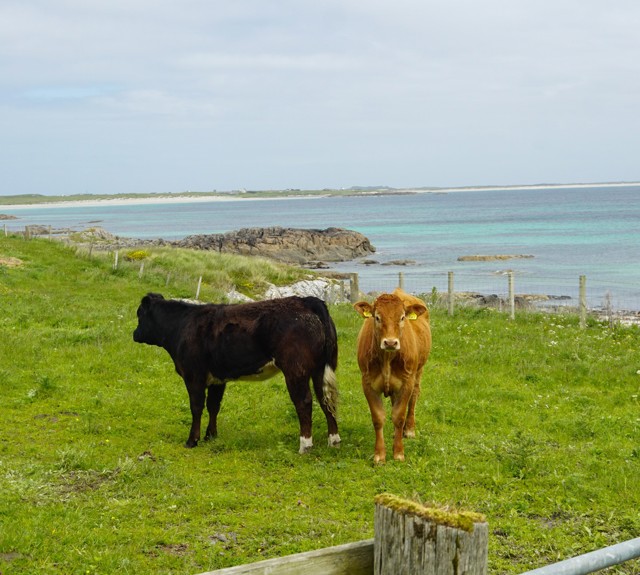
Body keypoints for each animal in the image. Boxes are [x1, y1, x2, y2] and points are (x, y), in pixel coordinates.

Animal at [133, 293, 340, 454]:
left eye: (139, 314)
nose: (134, 334)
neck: (181, 326)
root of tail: (306, 300)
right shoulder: (217, 379)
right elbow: (213, 406)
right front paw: (211, 436)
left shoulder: (193, 376)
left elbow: (196, 407)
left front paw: (192, 440)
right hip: (319, 368)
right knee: (325, 399)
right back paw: (333, 440)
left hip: (295, 369)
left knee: (304, 402)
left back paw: (305, 445)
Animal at [354, 288, 431, 464]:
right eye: (377, 317)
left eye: (402, 317)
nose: (390, 342)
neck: (387, 359)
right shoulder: (367, 383)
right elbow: (378, 418)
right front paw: (379, 455)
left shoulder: (406, 382)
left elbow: (399, 416)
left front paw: (398, 453)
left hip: (418, 371)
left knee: (414, 397)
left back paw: (408, 430)